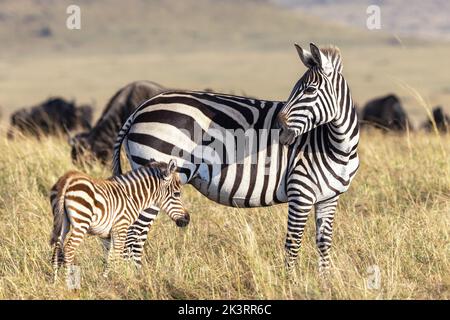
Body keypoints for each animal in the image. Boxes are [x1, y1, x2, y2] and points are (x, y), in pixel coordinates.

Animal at [48, 159, 188, 278]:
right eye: (177, 194)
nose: (187, 219)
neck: (132, 197)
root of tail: (68, 179)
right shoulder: (121, 227)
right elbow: (118, 255)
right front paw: (119, 278)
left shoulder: (107, 235)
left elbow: (109, 257)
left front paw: (105, 278)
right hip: (81, 222)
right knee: (69, 248)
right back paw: (68, 280)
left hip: (63, 221)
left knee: (57, 248)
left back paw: (55, 280)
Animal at [113, 43, 362, 272]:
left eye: (310, 90)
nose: (278, 130)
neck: (337, 145)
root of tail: (140, 108)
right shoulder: (300, 192)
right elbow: (292, 244)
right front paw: (293, 281)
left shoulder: (329, 197)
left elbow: (323, 243)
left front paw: (325, 280)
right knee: (134, 236)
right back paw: (137, 279)